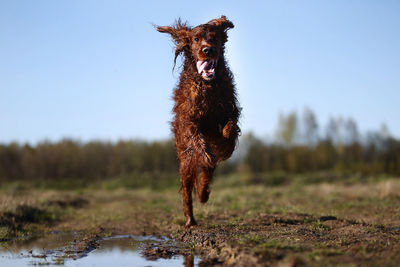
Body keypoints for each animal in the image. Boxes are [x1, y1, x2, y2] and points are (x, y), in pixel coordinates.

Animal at [157, 15, 241, 227]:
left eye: (214, 37)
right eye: (195, 39)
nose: (207, 50)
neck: (208, 85)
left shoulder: (230, 108)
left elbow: (230, 127)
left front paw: (225, 142)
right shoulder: (189, 119)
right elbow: (197, 139)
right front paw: (206, 151)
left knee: (206, 175)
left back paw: (203, 194)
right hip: (185, 162)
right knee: (187, 189)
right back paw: (190, 220)